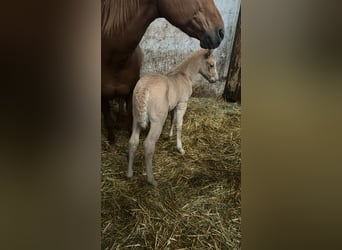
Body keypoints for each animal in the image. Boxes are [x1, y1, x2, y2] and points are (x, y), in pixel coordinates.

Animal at [101, 0, 224, 143]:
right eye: (211, 65)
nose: (221, 32)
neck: (115, 60)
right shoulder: (103, 98)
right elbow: (108, 120)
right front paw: (111, 140)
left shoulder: (131, 93)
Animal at [127, 48, 218, 186]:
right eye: (211, 64)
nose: (215, 79)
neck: (184, 74)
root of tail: (144, 88)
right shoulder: (182, 104)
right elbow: (179, 125)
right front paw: (180, 148)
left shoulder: (174, 106)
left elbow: (172, 120)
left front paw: (169, 135)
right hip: (157, 122)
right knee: (148, 145)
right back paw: (152, 180)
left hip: (136, 118)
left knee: (133, 142)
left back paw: (129, 173)